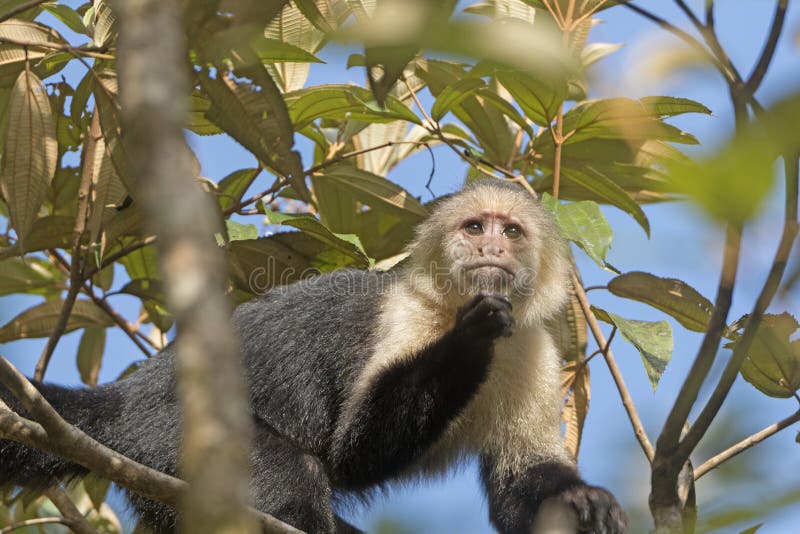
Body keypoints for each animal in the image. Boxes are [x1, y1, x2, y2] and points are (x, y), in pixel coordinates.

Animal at [0, 181, 624, 534]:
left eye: (511, 231)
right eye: (474, 227)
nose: (491, 247)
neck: (446, 306)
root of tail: (127, 395)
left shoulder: (533, 347)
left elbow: (521, 486)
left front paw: (580, 498)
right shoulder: (404, 316)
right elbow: (355, 451)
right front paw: (470, 338)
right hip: (163, 430)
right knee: (293, 476)